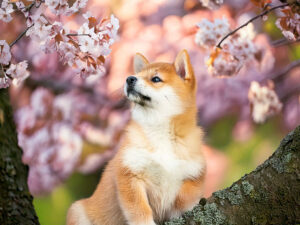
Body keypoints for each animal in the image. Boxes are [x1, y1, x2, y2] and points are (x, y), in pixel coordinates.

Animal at [66, 49, 206, 225]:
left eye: (156, 79)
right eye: (137, 75)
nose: (129, 78)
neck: (160, 133)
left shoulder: (193, 177)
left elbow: (183, 200)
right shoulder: (130, 174)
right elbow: (140, 209)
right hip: (77, 210)